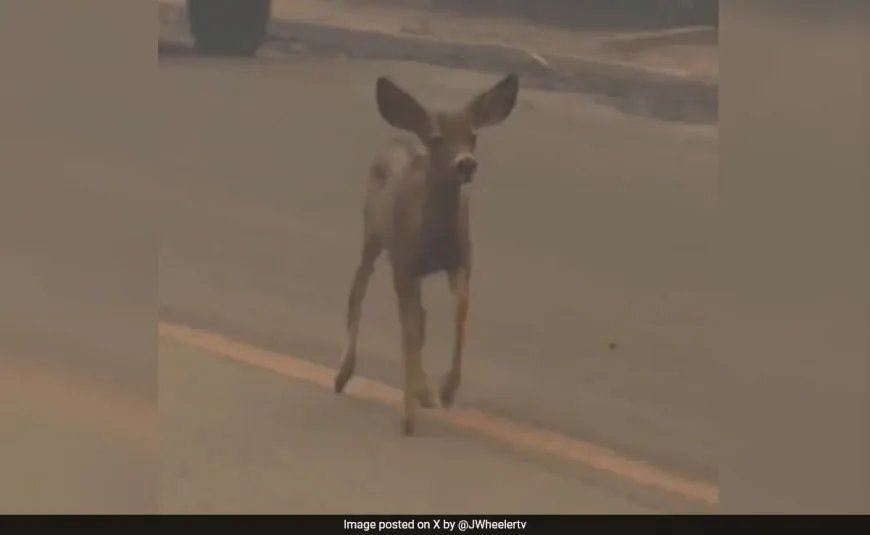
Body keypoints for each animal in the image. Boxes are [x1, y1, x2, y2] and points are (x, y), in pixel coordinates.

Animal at [330, 73, 516, 438]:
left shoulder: (461, 260)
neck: (434, 236)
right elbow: (410, 330)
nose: (466, 163)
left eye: (473, 135)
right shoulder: (405, 263)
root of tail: (396, 137)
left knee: (420, 315)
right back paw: (344, 374)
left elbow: (459, 311)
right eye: (437, 137)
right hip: (372, 235)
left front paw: (446, 389)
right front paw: (409, 415)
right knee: (358, 291)